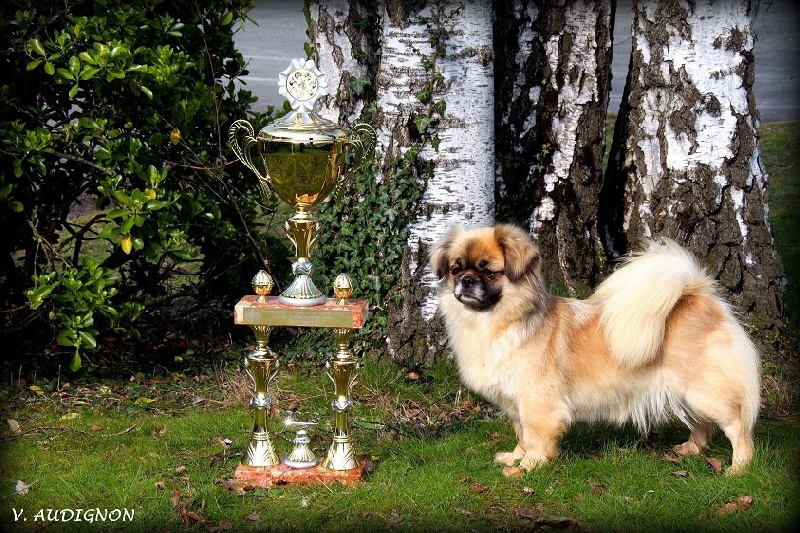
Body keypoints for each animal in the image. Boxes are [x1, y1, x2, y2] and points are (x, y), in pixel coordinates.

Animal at [431, 224, 760, 474]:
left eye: (489, 272)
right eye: (456, 269)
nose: (467, 280)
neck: (493, 323)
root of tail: (696, 295)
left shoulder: (537, 403)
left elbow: (535, 437)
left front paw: (528, 466)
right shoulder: (516, 404)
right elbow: (521, 434)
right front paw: (515, 457)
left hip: (705, 392)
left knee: (738, 427)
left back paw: (738, 468)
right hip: (688, 393)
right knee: (702, 425)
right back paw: (690, 450)